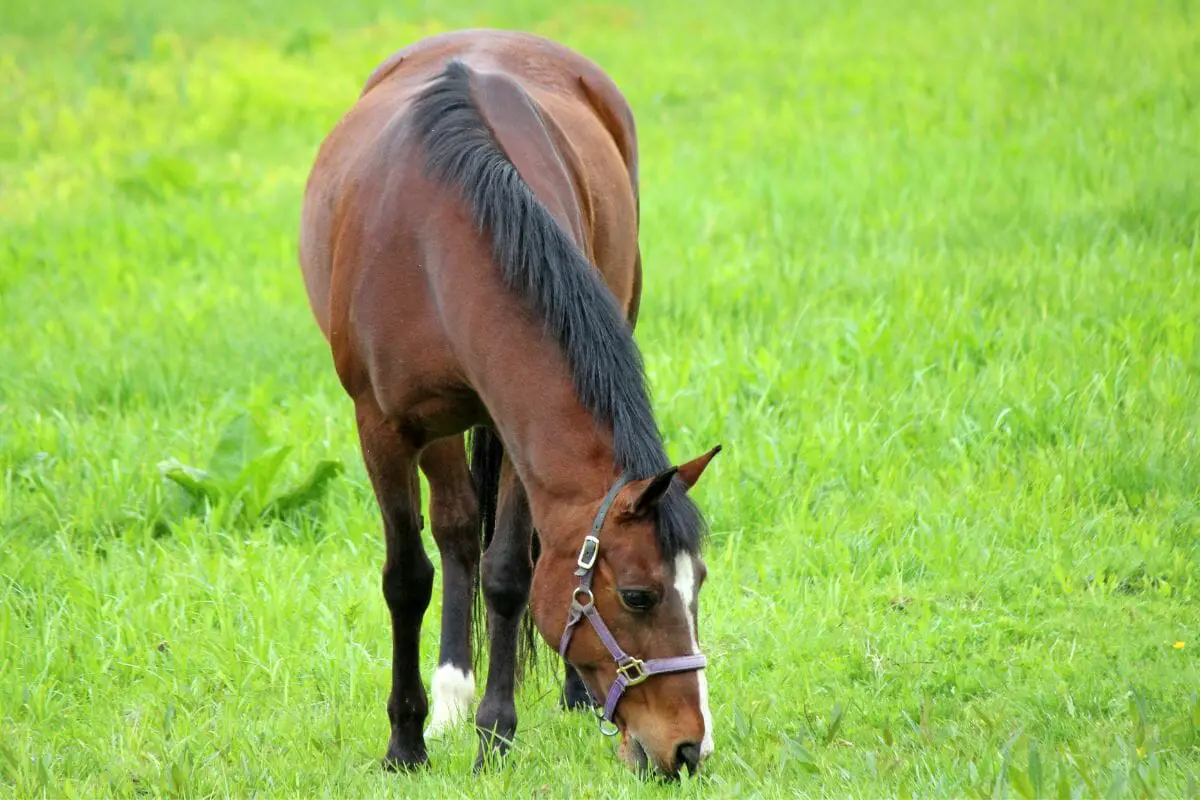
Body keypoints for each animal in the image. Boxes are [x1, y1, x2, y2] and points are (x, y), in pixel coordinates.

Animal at [298, 28, 720, 778]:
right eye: (638, 596)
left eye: (696, 582)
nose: (688, 748)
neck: (433, 235)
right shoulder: (383, 427)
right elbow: (407, 577)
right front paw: (406, 741)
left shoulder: (515, 427)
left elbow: (509, 574)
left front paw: (495, 734)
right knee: (456, 529)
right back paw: (448, 699)